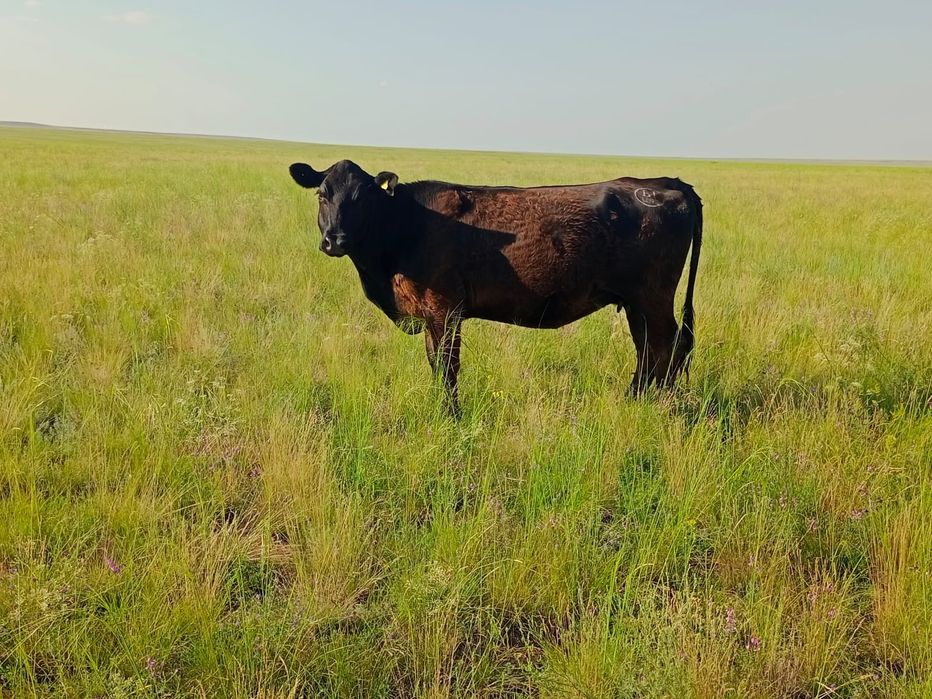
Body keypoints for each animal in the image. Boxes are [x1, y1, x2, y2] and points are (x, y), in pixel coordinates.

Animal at [289, 159, 702, 415]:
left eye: (362, 198)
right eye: (322, 195)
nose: (335, 240)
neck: (407, 225)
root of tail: (666, 183)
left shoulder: (444, 310)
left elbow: (446, 366)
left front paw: (451, 416)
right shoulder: (431, 315)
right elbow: (436, 364)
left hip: (652, 297)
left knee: (665, 347)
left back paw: (653, 404)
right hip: (637, 302)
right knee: (650, 349)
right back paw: (637, 399)